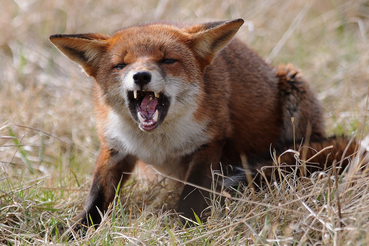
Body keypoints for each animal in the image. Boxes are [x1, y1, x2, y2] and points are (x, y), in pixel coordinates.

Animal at [50, 18, 360, 228]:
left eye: (167, 60)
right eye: (121, 65)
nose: (140, 76)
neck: (157, 142)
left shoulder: (210, 141)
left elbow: (192, 193)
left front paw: (184, 227)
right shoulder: (115, 148)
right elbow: (96, 199)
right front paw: (75, 232)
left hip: (294, 92)